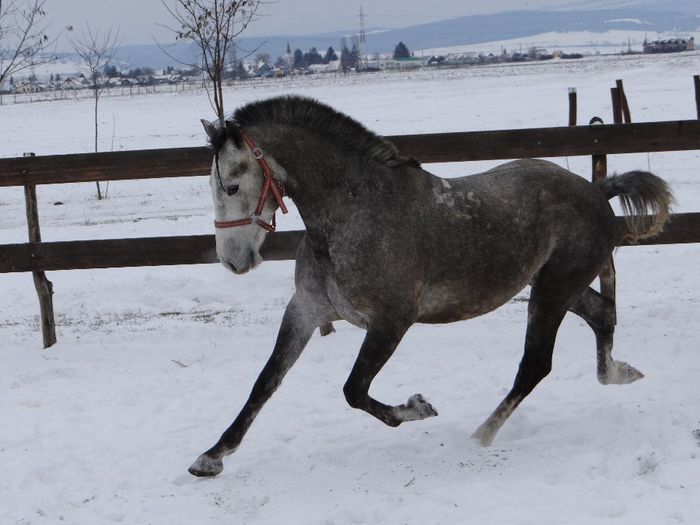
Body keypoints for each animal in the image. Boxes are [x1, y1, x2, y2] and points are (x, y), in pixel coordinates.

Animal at [189, 94, 676, 474]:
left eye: (231, 186)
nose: (233, 261)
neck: (354, 214)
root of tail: (597, 192)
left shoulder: (391, 322)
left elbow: (354, 390)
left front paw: (418, 408)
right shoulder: (306, 310)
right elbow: (264, 383)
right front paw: (210, 457)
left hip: (552, 292)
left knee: (535, 365)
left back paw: (480, 436)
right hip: (556, 287)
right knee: (602, 315)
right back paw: (621, 372)